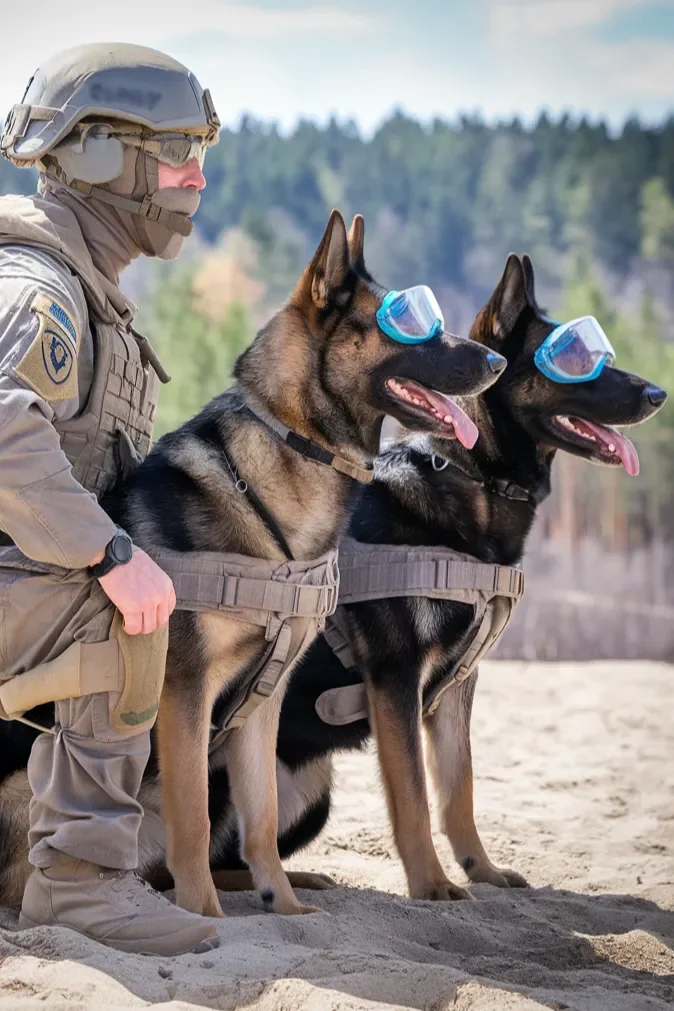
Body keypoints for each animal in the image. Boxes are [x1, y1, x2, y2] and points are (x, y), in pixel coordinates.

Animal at [0, 211, 503, 917]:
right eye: (410, 324)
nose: (498, 360)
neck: (291, 454)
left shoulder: (263, 702)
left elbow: (258, 815)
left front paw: (283, 903)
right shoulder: (184, 694)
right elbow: (192, 817)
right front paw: (204, 914)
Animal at [194, 252, 662, 901]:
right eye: (576, 363)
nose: (659, 393)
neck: (473, 478)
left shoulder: (456, 689)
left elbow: (460, 789)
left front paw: (481, 870)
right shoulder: (396, 679)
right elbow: (413, 794)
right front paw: (432, 884)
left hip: (309, 791)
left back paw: (303, 878)